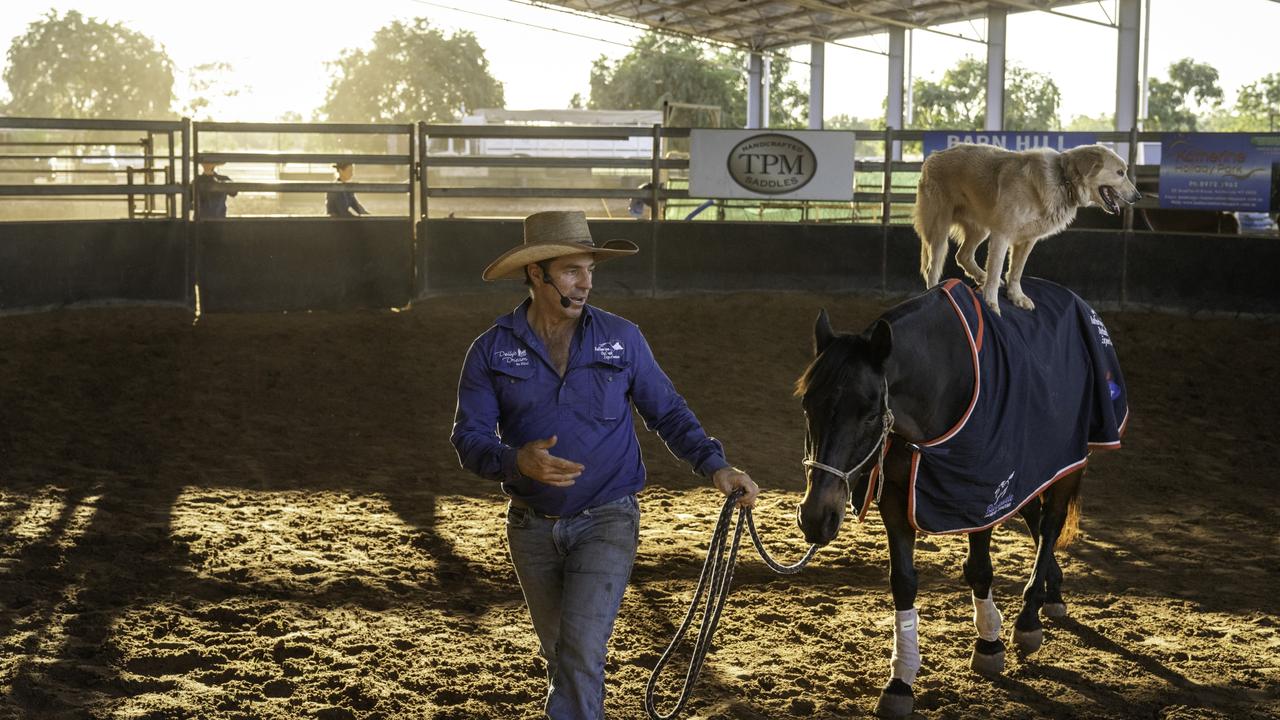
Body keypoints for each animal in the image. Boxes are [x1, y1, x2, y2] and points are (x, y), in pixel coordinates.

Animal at [916, 143, 1146, 313]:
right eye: (1120, 172)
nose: (1138, 197)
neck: (1064, 180)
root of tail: (933, 157)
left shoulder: (1027, 240)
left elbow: (1016, 271)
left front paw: (1016, 297)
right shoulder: (1001, 235)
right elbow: (996, 270)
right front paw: (991, 304)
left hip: (980, 228)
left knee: (962, 255)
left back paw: (980, 276)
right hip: (939, 231)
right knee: (932, 268)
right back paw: (935, 290)